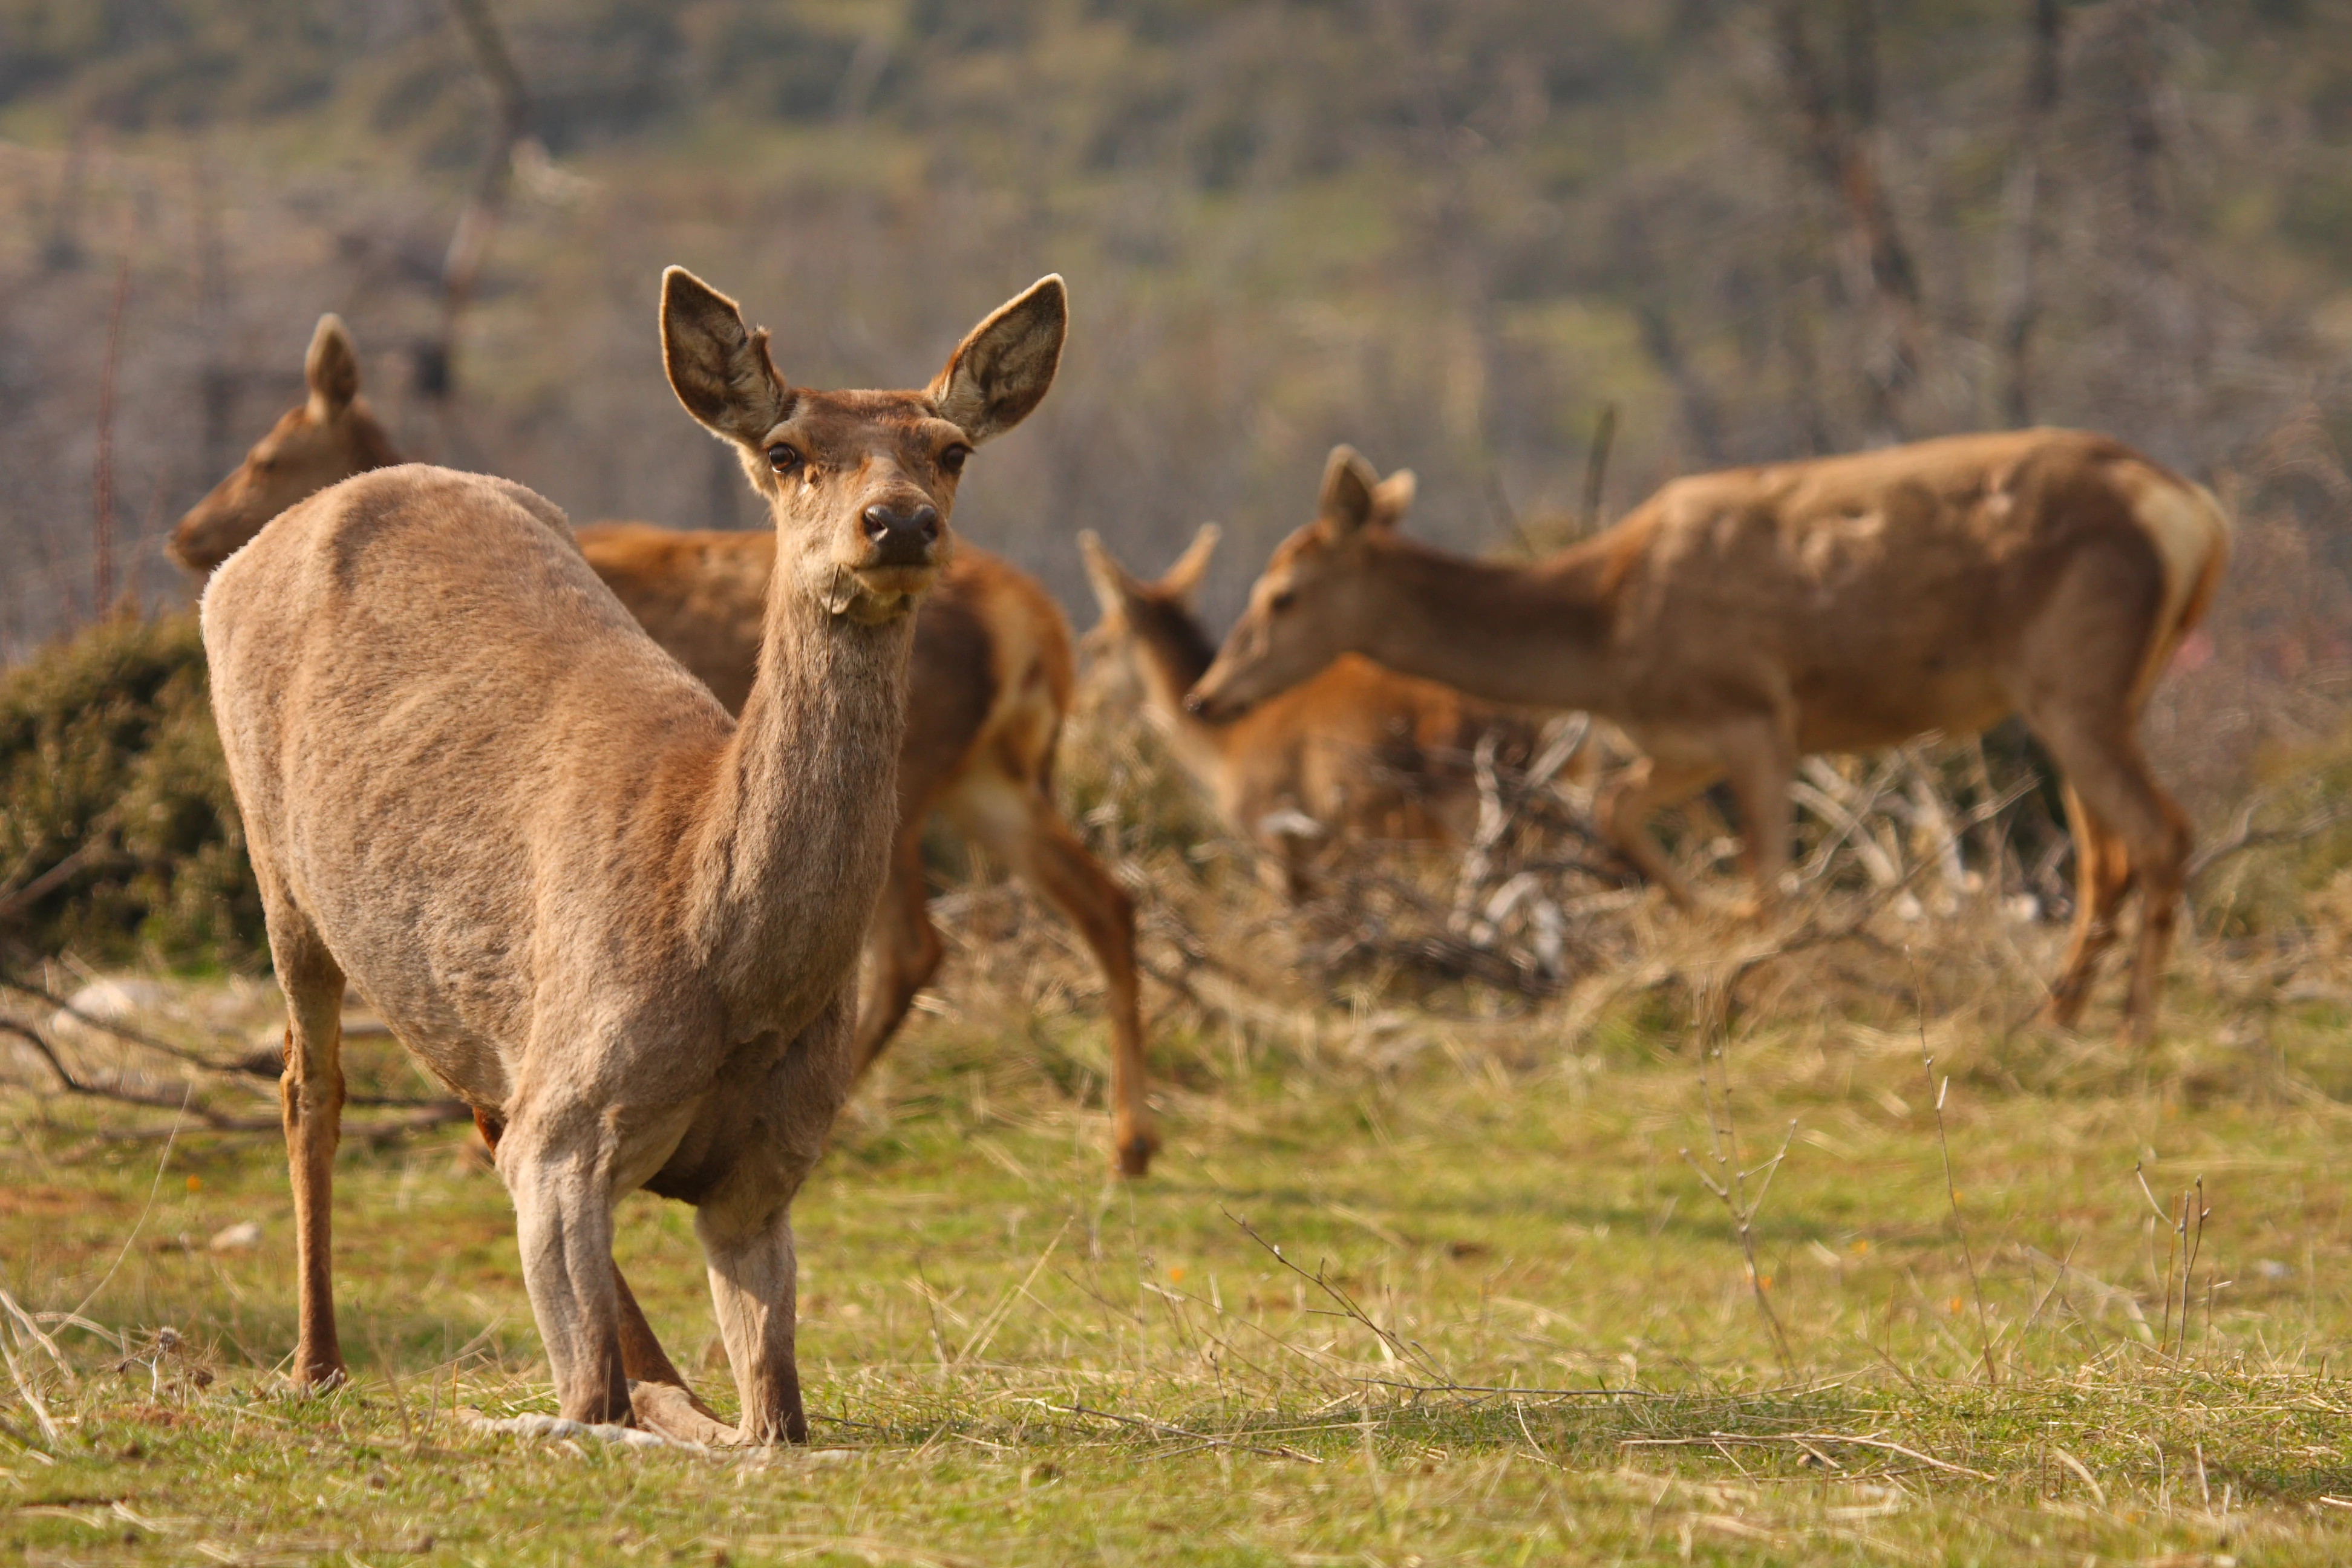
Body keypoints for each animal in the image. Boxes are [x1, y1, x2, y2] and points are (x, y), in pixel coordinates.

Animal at [173, 314, 1156, 1177]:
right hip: (995, 776)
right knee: (1105, 899)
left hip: (923, 778)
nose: (187, 533)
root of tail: (1039, 625)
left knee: (921, 942)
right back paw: (1128, 1142)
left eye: (267, 454)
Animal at [200, 266, 1066, 1443]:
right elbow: (583, 1401)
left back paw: (666, 1385)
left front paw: (693, 1402)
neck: (726, 971)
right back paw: (317, 1362)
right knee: (310, 1082)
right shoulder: (572, 1127)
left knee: (482, 1108)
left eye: (951, 448)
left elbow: (774, 1420)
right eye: (786, 451)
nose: (898, 522)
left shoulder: (764, 1177)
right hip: (277, 866)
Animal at [1186, 435, 2231, 1043]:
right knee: (2109, 855)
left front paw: (1747, 984)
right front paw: (1701, 931)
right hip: (2093, 690)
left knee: (2163, 832)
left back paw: (2134, 1030)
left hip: (2074, 674)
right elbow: (1620, 814)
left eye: (1283, 595)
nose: (1206, 697)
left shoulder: (1757, 712)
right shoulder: (1682, 738)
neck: (1608, 635)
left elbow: (1771, 884)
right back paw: (2056, 1016)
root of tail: (2197, 515)